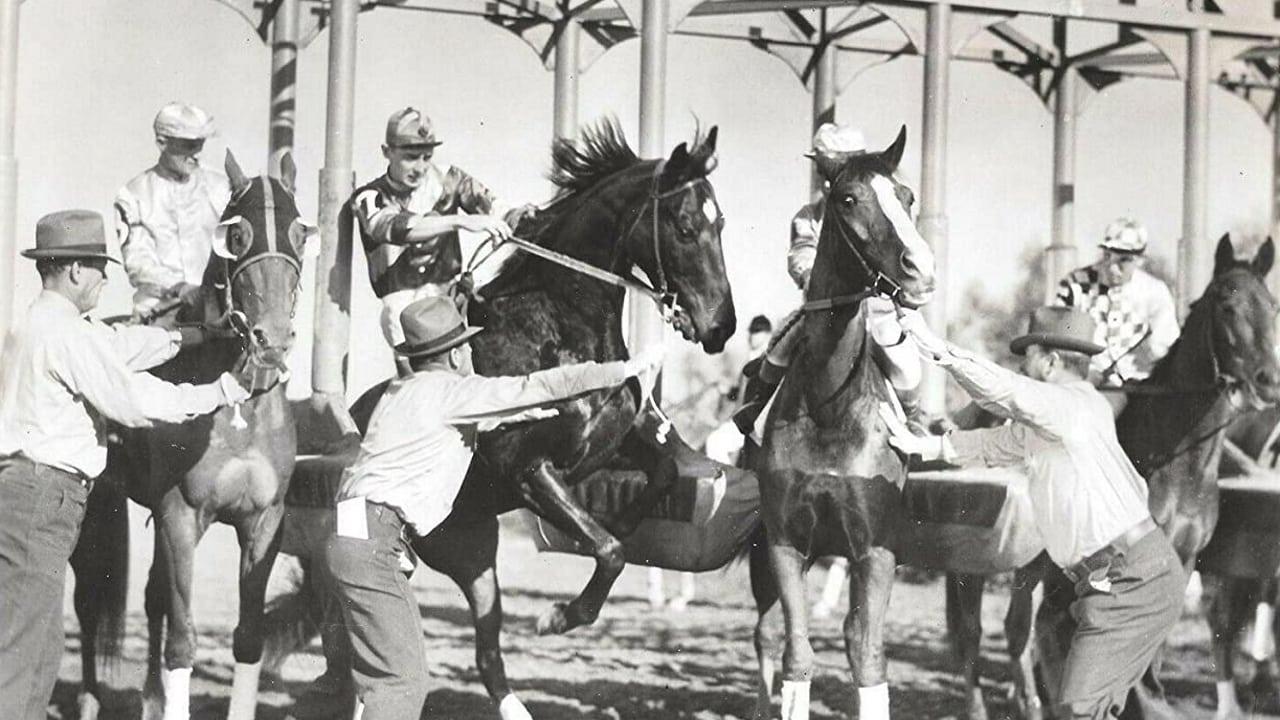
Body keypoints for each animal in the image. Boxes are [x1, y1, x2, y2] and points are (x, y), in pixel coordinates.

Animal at [747, 128, 936, 717]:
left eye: (908, 196)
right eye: (849, 198)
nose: (921, 269)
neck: (831, 407)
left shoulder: (876, 550)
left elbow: (867, 656)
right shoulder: (785, 544)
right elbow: (797, 654)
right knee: (766, 634)